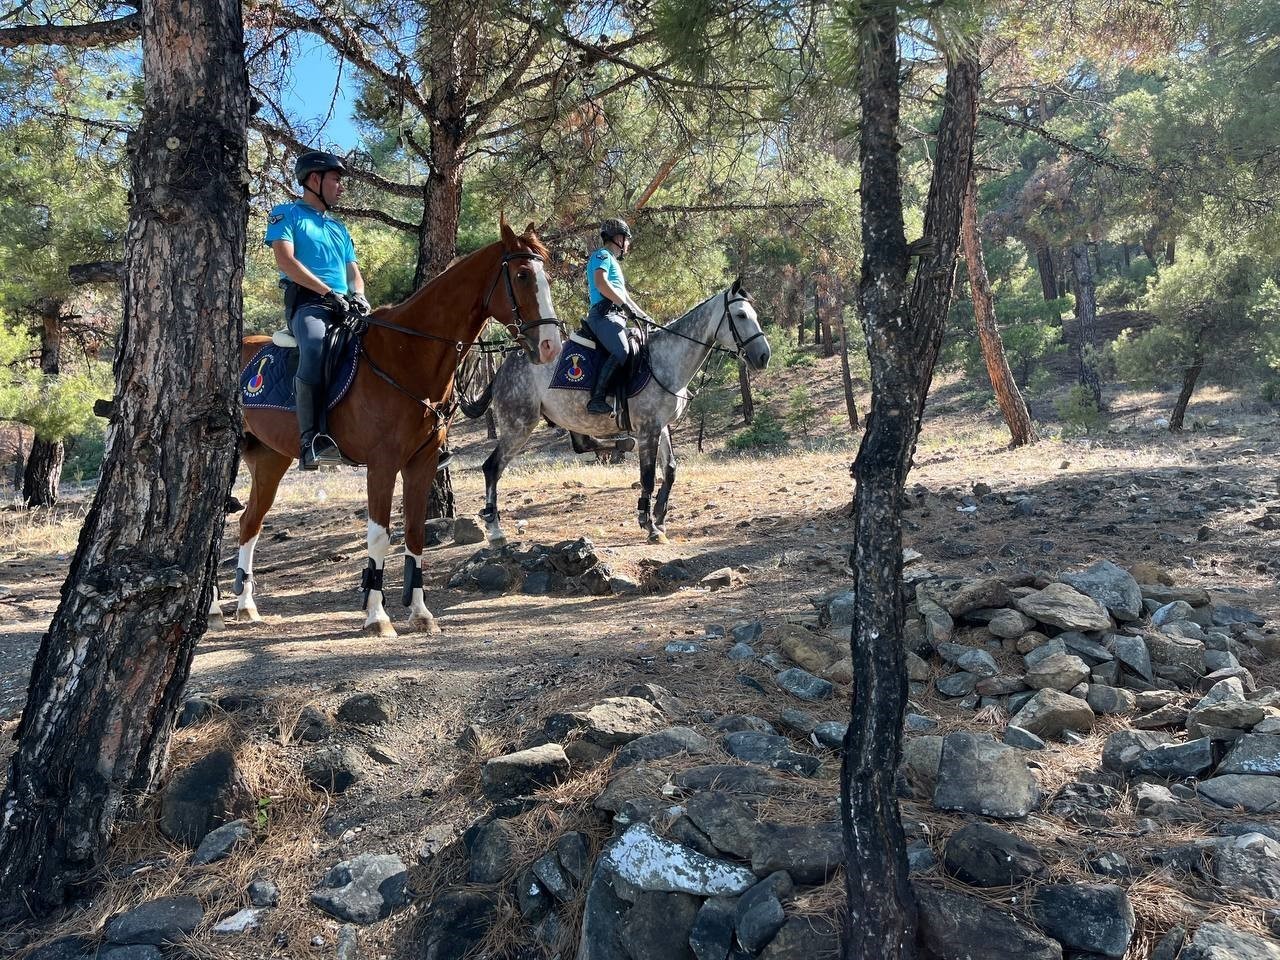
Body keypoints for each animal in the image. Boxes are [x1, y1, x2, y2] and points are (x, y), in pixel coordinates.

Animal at [222, 218, 563, 640]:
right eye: (521, 275)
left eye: (547, 276)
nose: (550, 346)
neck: (408, 355)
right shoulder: (382, 464)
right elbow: (380, 536)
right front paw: (376, 616)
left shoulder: (422, 462)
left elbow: (415, 532)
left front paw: (420, 613)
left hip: (271, 461)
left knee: (249, 523)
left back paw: (246, 606)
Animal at [471, 281, 768, 545]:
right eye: (741, 315)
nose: (764, 356)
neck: (665, 360)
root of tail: (502, 368)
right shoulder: (648, 429)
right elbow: (647, 477)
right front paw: (648, 525)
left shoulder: (660, 427)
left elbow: (670, 470)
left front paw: (660, 517)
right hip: (519, 425)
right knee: (492, 468)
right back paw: (495, 530)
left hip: (566, 417)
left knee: (581, 445)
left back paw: (622, 443)